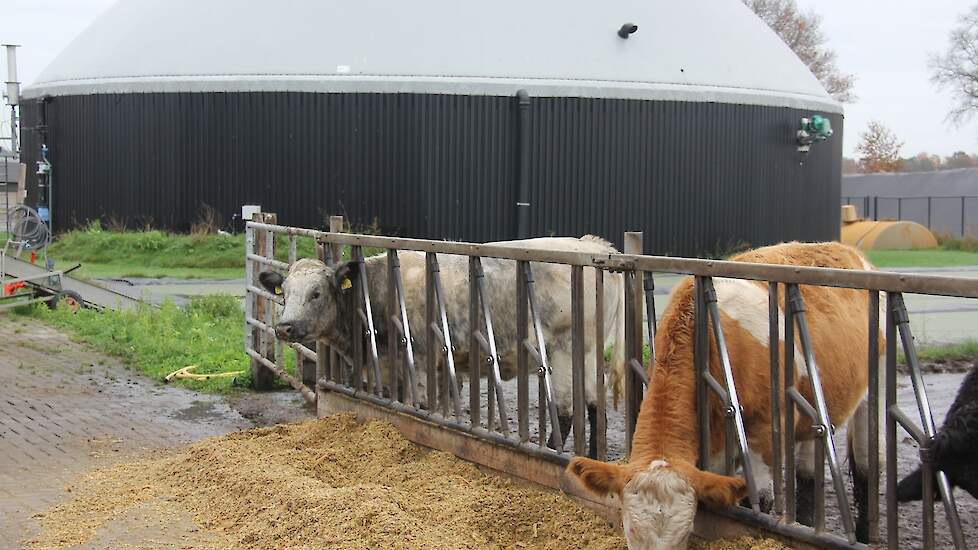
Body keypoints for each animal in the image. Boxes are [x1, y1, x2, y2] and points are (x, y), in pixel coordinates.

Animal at [260, 237, 624, 458]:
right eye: (284, 292)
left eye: (317, 293)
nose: (284, 327)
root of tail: (590, 243)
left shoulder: (419, 364)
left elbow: (422, 409)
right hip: (588, 358)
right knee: (595, 405)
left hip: (565, 353)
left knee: (566, 411)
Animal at [564, 244, 876, 548]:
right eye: (629, 530)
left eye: (684, 534)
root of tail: (847, 250)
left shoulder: (766, 434)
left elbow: (757, 498)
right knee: (809, 470)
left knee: (866, 467)